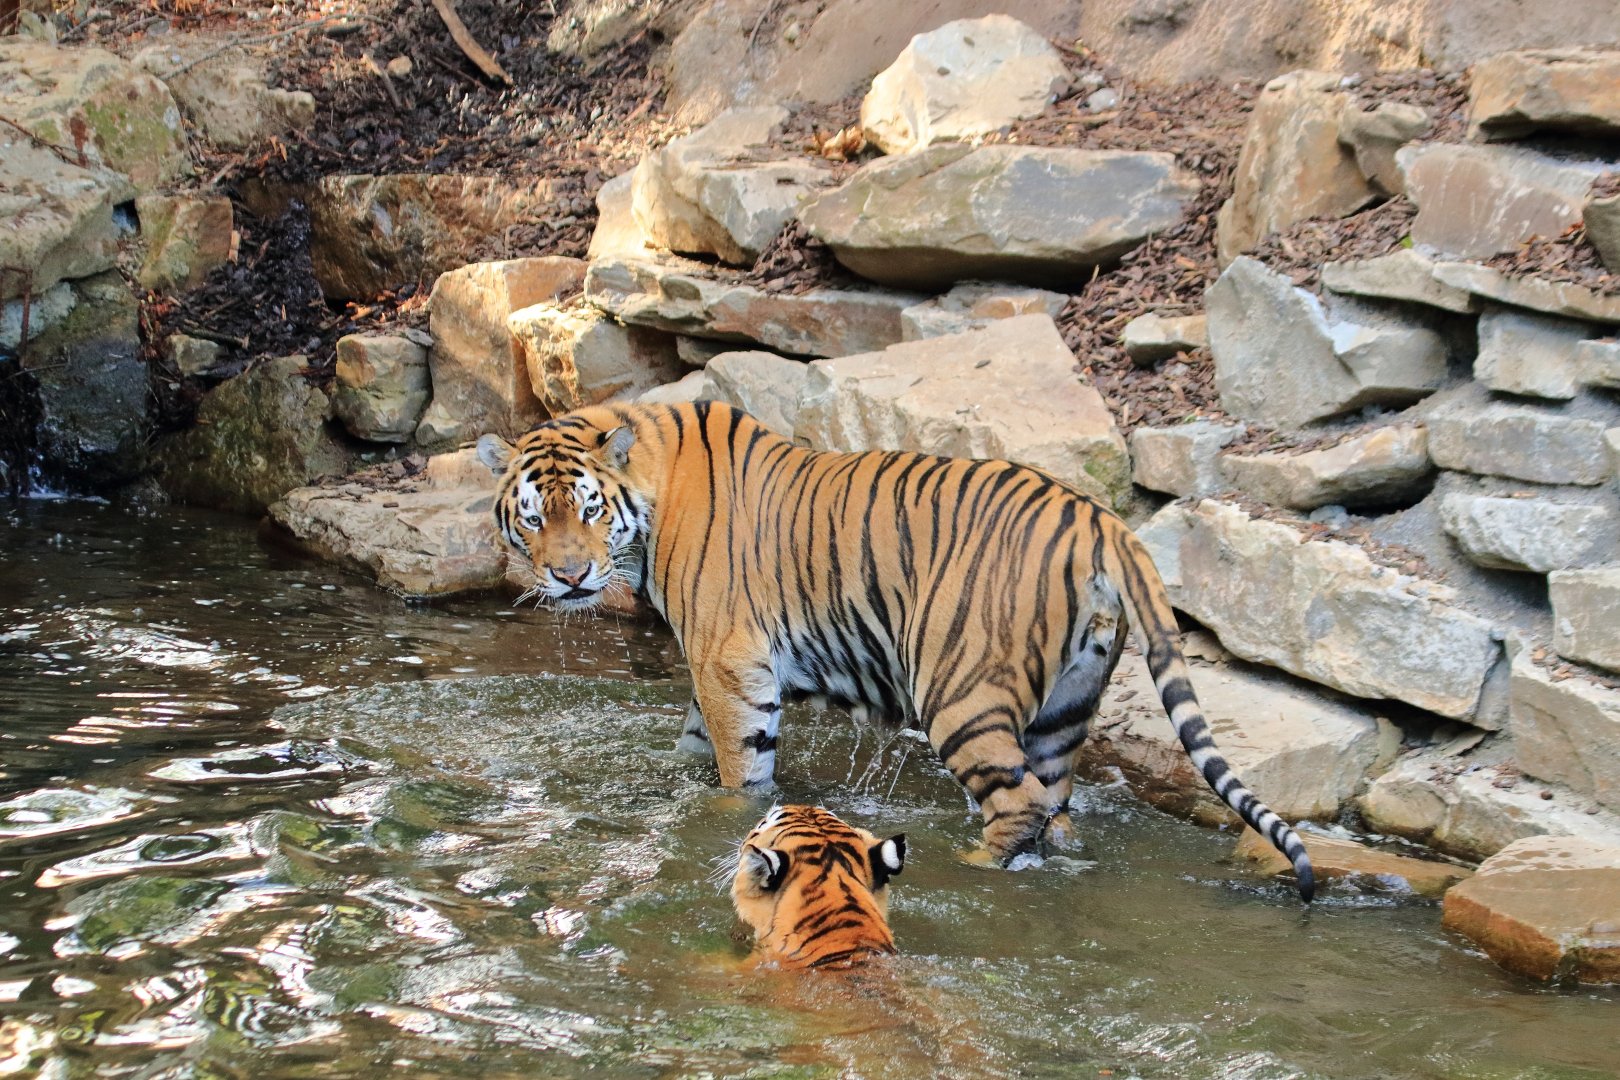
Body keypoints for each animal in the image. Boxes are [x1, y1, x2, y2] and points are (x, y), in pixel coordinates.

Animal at [478, 401, 1316, 902]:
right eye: (534, 517)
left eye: (590, 510)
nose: (570, 576)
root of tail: (1100, 519)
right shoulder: (713, 670)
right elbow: (691, 750)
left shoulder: (729, 663)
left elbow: (739, 776)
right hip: (1067, 706)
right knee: (1053, 810)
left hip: (959, 691)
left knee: (1015, 804)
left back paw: (965, 871)